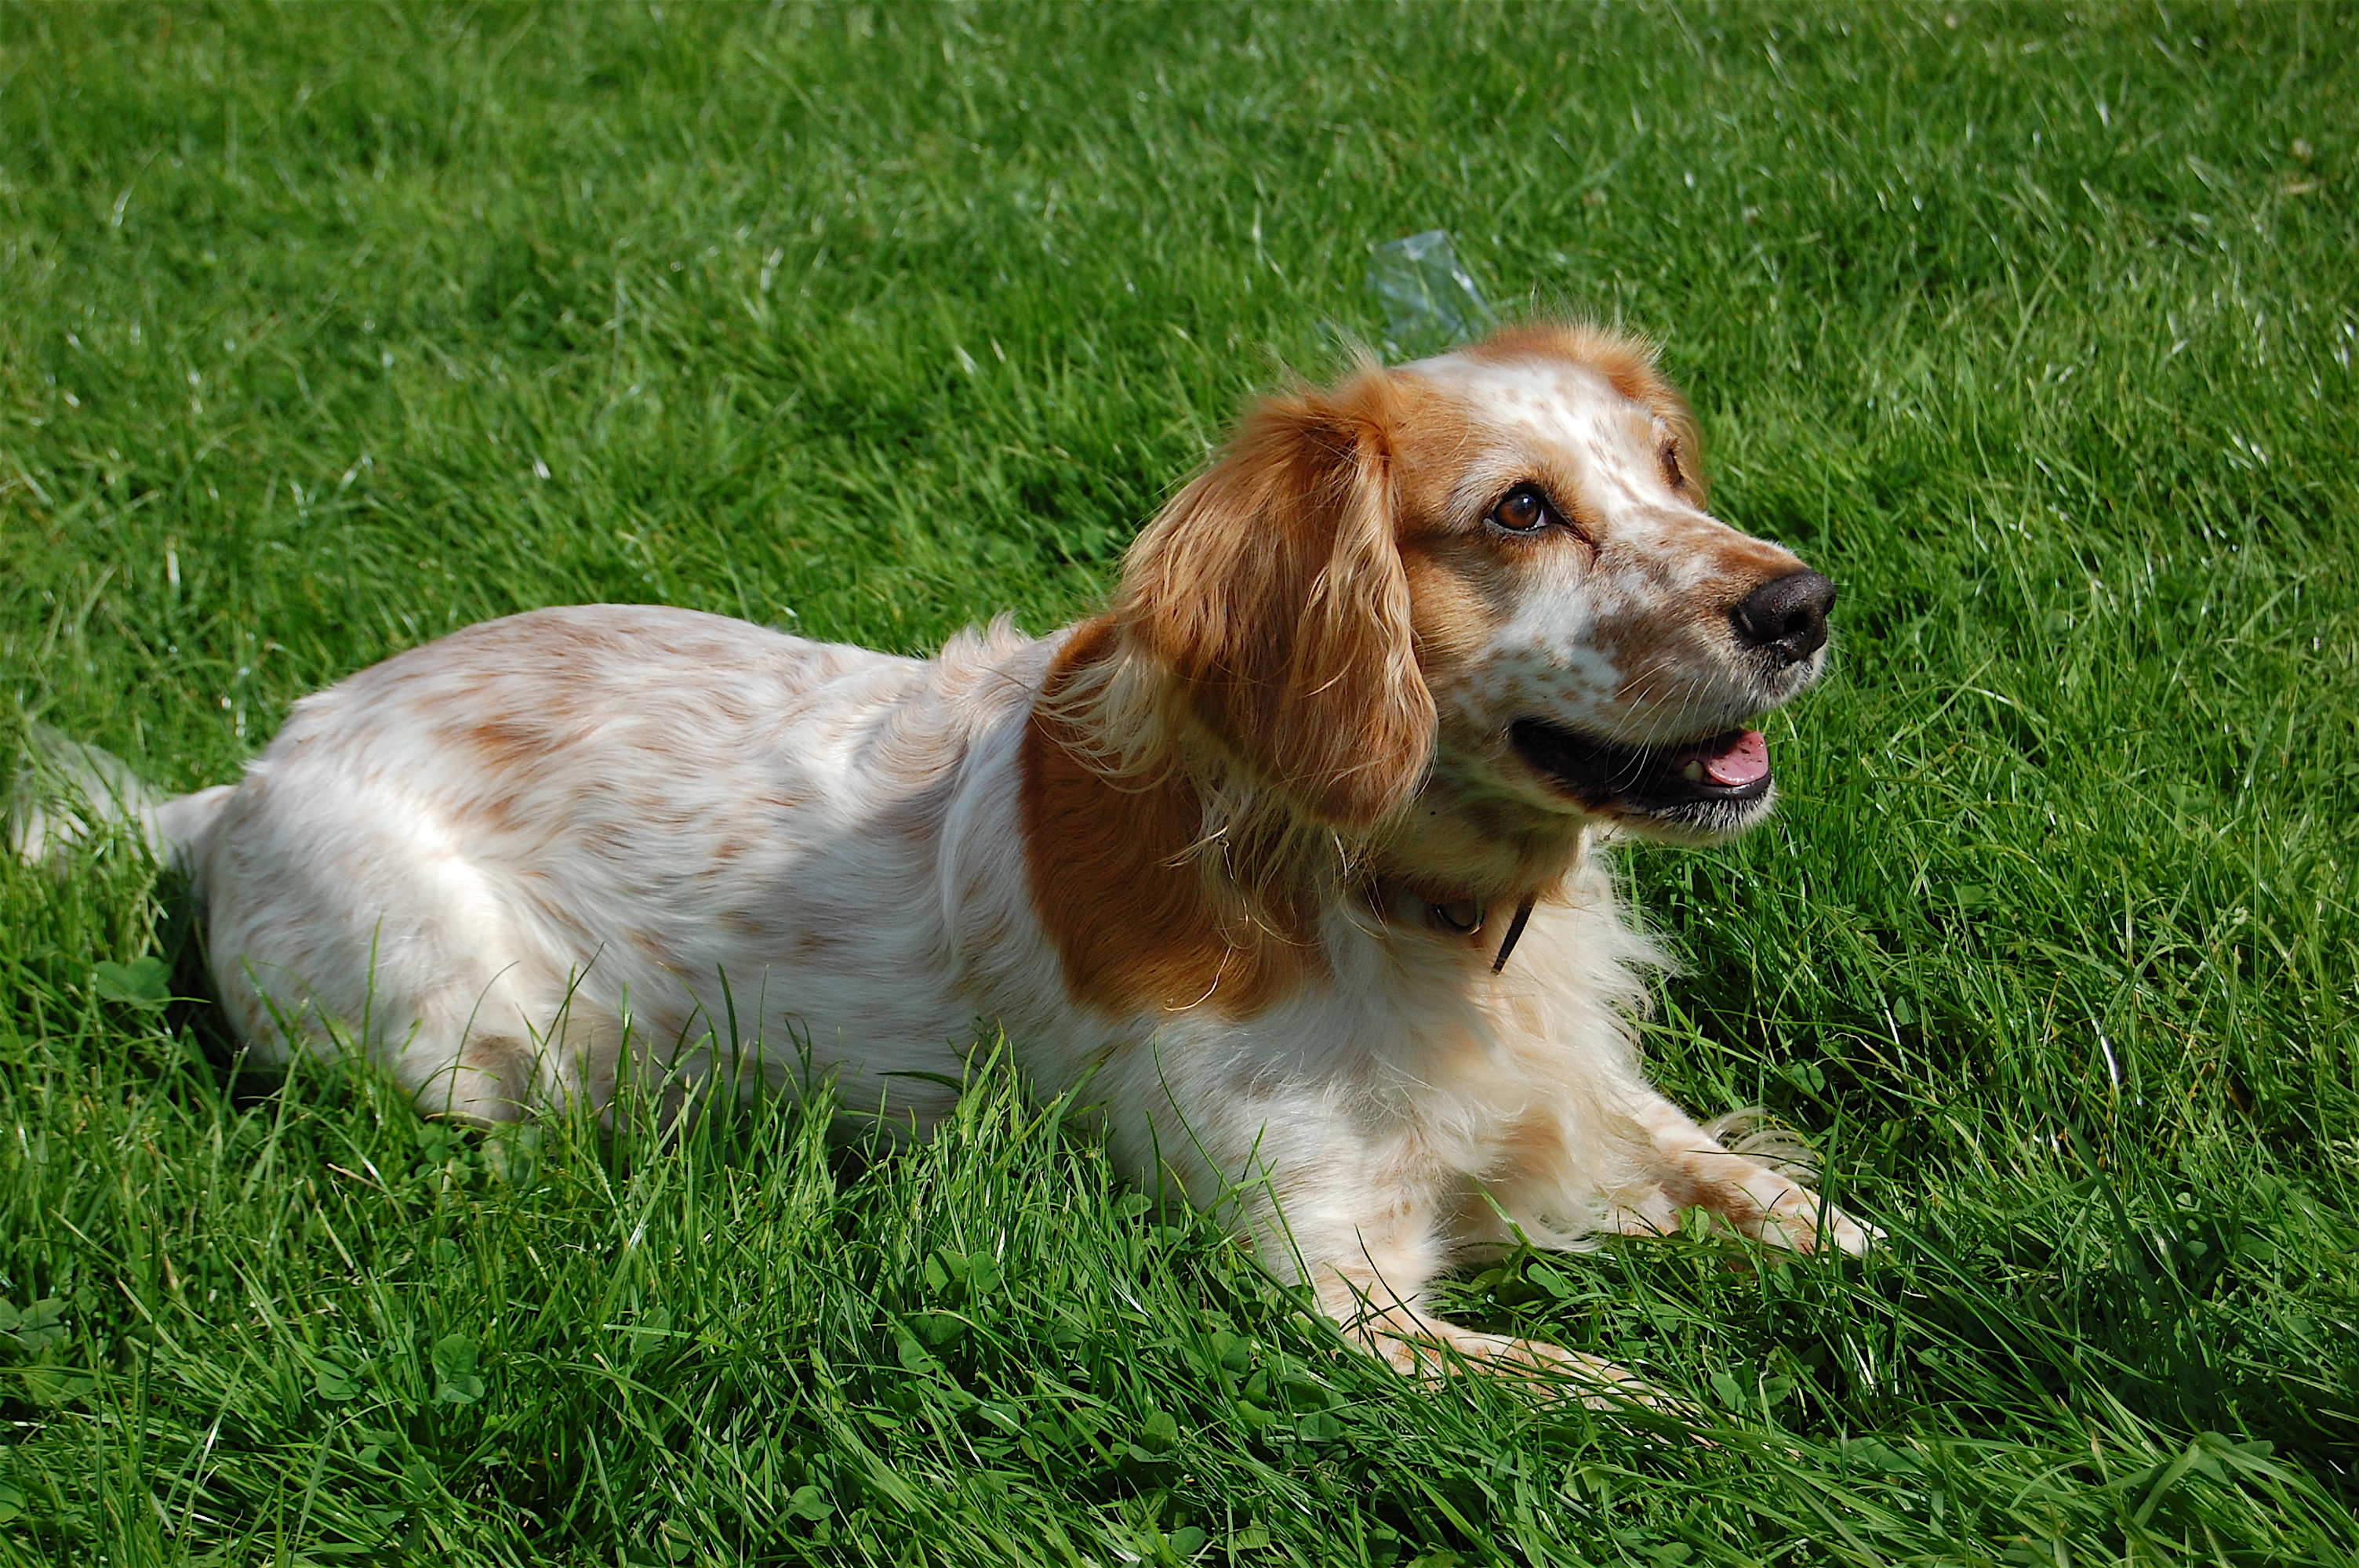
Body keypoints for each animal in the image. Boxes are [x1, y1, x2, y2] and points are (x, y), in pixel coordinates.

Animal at [13, 321, 1859, 1396]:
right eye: (1518, 512)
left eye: (1667, 466)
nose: (1802, 603)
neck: (1378, 899)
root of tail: (247, 775)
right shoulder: (1327, 1283)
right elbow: (1627, 1404)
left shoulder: (1584, 1104)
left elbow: (1774, 1197)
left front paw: (1870, 1253)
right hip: (458, 1026)